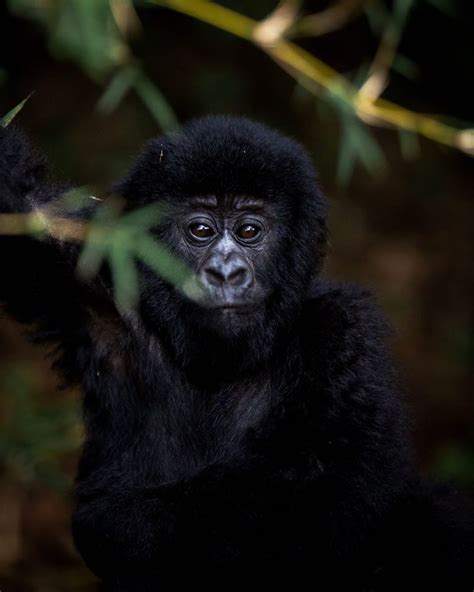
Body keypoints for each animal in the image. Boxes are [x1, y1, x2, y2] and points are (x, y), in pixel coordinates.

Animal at [0, 114, 470, 588]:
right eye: (201, 231)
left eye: (248, 232)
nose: (226, 273)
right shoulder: (96, 273)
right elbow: (23, 208)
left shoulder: (344, 332)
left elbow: (326, 496)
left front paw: (123, 521)